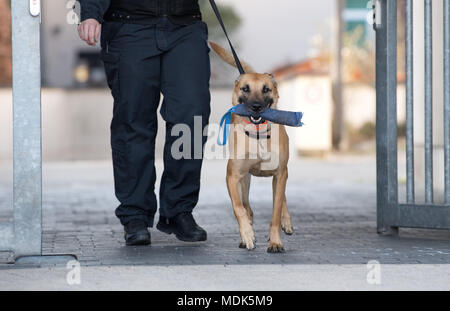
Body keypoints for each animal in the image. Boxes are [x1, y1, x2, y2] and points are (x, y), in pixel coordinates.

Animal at [210, 42, 292, 254]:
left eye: (266, 89)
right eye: (245, 89)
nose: (256, 106)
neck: (258, 135)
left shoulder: (280, 173)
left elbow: (275, 211)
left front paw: (275, 241)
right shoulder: (233, 176)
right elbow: (239, 208)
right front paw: (247, 235)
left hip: (280, 174)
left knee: (281, 197)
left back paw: (286, 221)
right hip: (244, 180)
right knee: (247, 207)